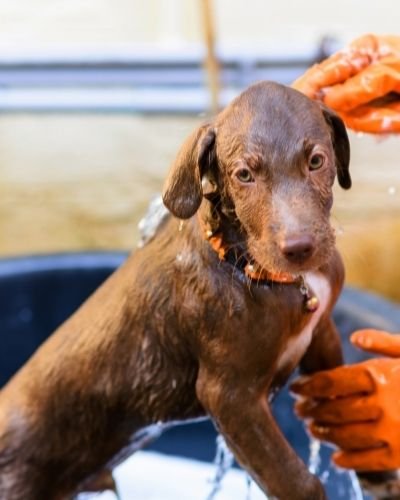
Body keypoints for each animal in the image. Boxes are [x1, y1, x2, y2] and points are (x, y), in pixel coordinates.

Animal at [0, 82, 350, 500]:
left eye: (316, 161)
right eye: (244, 174)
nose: (299, 249)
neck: (247, 267)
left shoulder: (323, 334)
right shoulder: (230, 396)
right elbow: (297, 482)